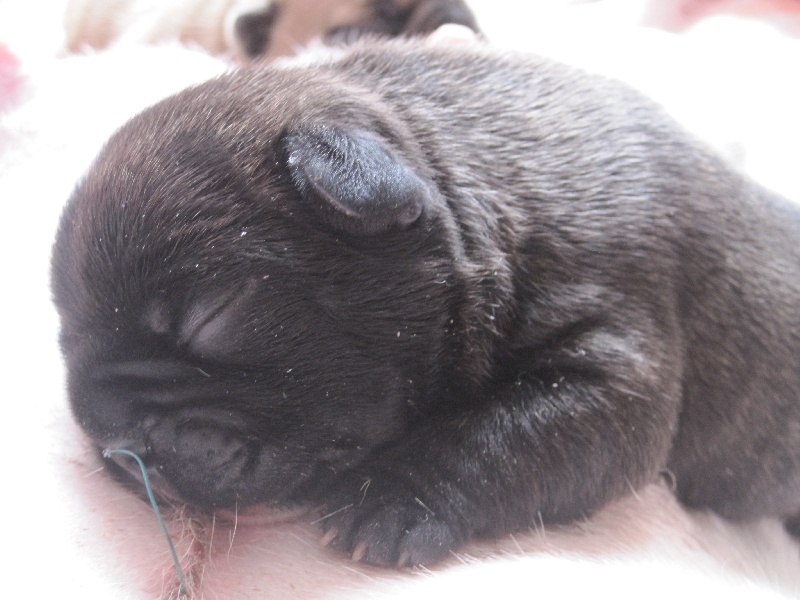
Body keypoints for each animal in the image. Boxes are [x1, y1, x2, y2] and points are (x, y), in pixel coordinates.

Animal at [51, 38, 800, 568]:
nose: (118, 446)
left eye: (210, 317)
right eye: (63, 344)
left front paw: (389, 498)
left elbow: (499, 434)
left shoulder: (614, 369)